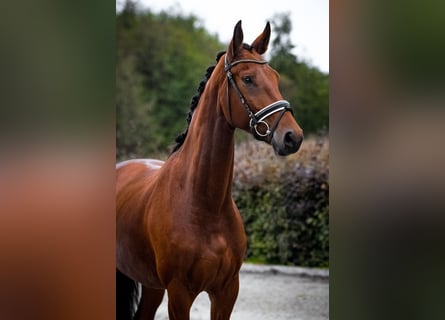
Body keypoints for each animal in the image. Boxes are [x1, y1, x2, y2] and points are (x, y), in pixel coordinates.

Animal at [115, 21, 302, 318]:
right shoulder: (179, 294)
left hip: (152, 285)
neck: (205, 205)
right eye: (248, 79)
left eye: (275, 77)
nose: (292, 137)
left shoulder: (226, 291)